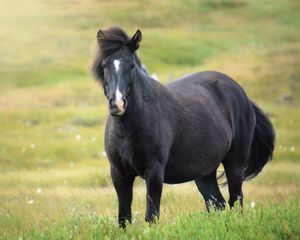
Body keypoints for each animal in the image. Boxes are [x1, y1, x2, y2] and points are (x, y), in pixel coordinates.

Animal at [91, 27, 274, 228]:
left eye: (131, 65)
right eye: (104, 65)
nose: (117, 104)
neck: (128, 129)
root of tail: (241, 93)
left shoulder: (154, 172)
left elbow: (151, 216)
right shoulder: (119, 174)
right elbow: (124, 219)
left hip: (235, 164)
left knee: (235, 201)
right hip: (205, 174)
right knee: (218, 204)